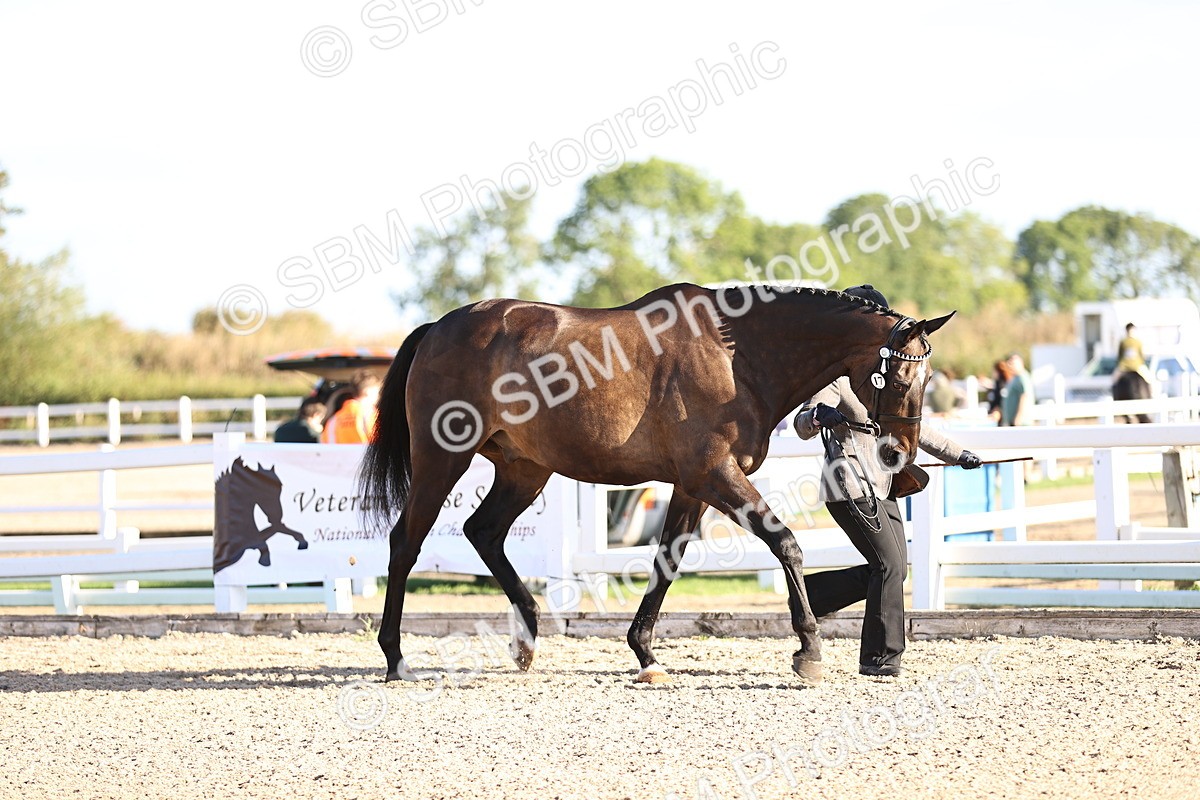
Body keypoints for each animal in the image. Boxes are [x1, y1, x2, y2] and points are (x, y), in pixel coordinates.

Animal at [359, 283, 954, 685]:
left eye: (929, 377)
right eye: (901, 376)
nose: (899, 455)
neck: (737, 357)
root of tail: (437, 329)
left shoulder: (693, 486)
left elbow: (667, 561)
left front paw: (645, 653)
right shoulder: (715, 475)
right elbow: (786, 542)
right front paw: (808, 650)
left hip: (524, 468)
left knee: (483, 532)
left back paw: (526, 639)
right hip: (442, 458)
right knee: (405, 543)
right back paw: (395, 658)